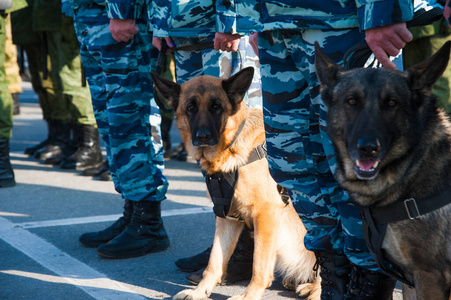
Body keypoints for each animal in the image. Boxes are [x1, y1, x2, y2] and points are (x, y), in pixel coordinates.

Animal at [153, 68, 322, 300]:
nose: (203, 136)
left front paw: (248, 296)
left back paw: (314, 290)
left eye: (217, 107)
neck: (231, 148)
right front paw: (199, 292)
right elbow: (214, 262)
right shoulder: (227, 217)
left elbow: (259, 265)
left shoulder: (266, 214)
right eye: (191, 108)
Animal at [314, 41, 451, 298]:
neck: (414, 165)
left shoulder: (430, 276)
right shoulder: (412, 279)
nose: (368, 148)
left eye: (391, 103)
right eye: (352, 101)